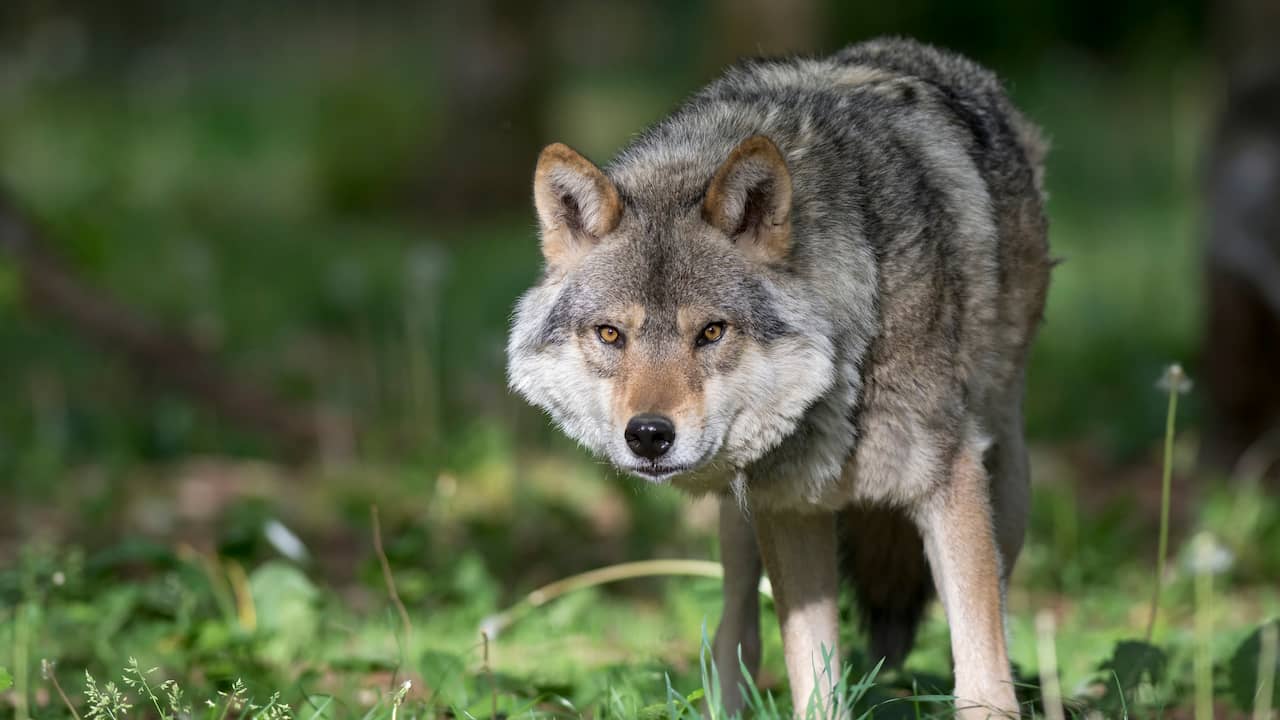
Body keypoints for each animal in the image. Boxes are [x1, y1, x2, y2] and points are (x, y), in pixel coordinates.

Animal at [507, 37, 1051, 719]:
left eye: (712, 332)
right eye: (611, 335)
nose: (649, 435)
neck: (847, 363)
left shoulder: (948, 487)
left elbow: (982, 669)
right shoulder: (788, 509)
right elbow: (813, 680)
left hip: (1009, 492)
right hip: (739, 524)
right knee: (735, 631)